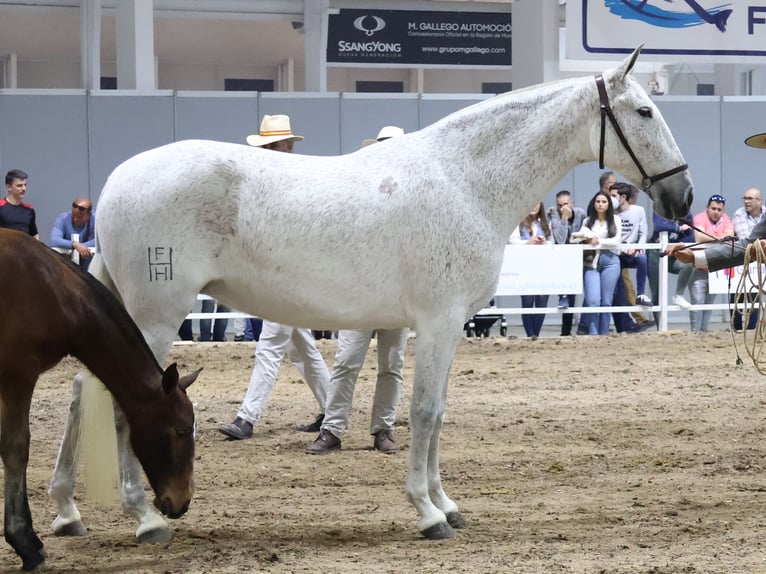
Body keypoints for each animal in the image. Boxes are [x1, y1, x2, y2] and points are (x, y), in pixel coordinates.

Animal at [0, 230, 201, 572]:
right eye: (181, 430)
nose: (182, 501)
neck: (51, 286)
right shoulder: (18, 375)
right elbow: (15, 451)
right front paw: (26, 543)